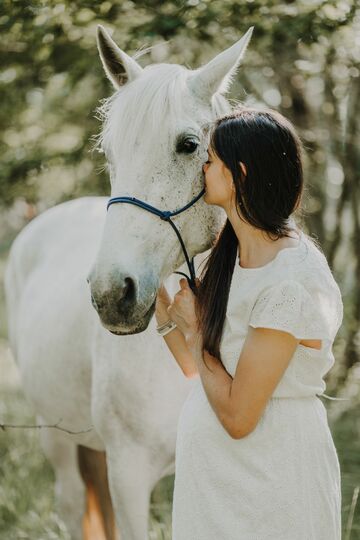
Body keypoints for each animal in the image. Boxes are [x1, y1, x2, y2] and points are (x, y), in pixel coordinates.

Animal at [5, 25, 253, 540]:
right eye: (110, 152)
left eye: (187, 144)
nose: (110, 294)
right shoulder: (129, 474)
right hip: (55, 434)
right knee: (71, 502)